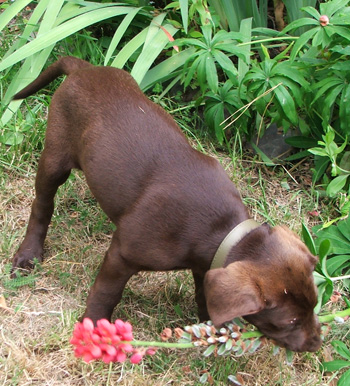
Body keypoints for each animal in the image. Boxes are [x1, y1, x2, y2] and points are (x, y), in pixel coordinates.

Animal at [10, 56, 322, 352]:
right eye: (289, 321)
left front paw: (213, 332)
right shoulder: (122, 254)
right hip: (56, 155)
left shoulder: (207, 266)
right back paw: (28, 254)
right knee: (42, 204)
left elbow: (205, 295)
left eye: (315, 304)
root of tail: (84, 68)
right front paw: (97, 329)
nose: (316, 344)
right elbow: (106, 293)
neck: (220, 228)